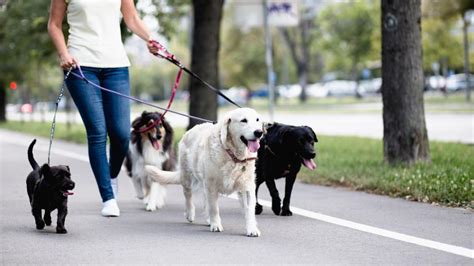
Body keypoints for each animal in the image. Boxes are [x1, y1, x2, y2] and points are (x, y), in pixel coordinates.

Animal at [145, 108, 262, 237]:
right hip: (187, 176)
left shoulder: (246, 186)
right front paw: (216, 225)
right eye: (244, 120)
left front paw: (252, 229)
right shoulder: (211, 184)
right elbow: (214, 208)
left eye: (257, 120)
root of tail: (189, 130)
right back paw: (190, 214)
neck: (233, 155)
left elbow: (249, 210)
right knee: (188, 196)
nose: (259, 132)